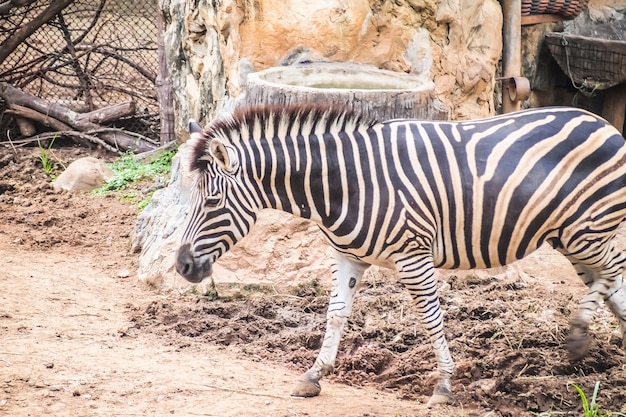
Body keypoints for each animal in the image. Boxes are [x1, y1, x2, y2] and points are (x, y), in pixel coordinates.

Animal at [174, 102, 624, 404]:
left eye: (211, 202)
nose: (181, 266)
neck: (345, 184)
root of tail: (604, 123)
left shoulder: (414, 255)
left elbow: (430, 319)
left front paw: (444, 385)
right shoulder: (346, 255)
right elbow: (335, 313)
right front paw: (314, 375)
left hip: (586, 229)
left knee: (614, 271)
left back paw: (578, 336)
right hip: (569, 236)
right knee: (613, 284)